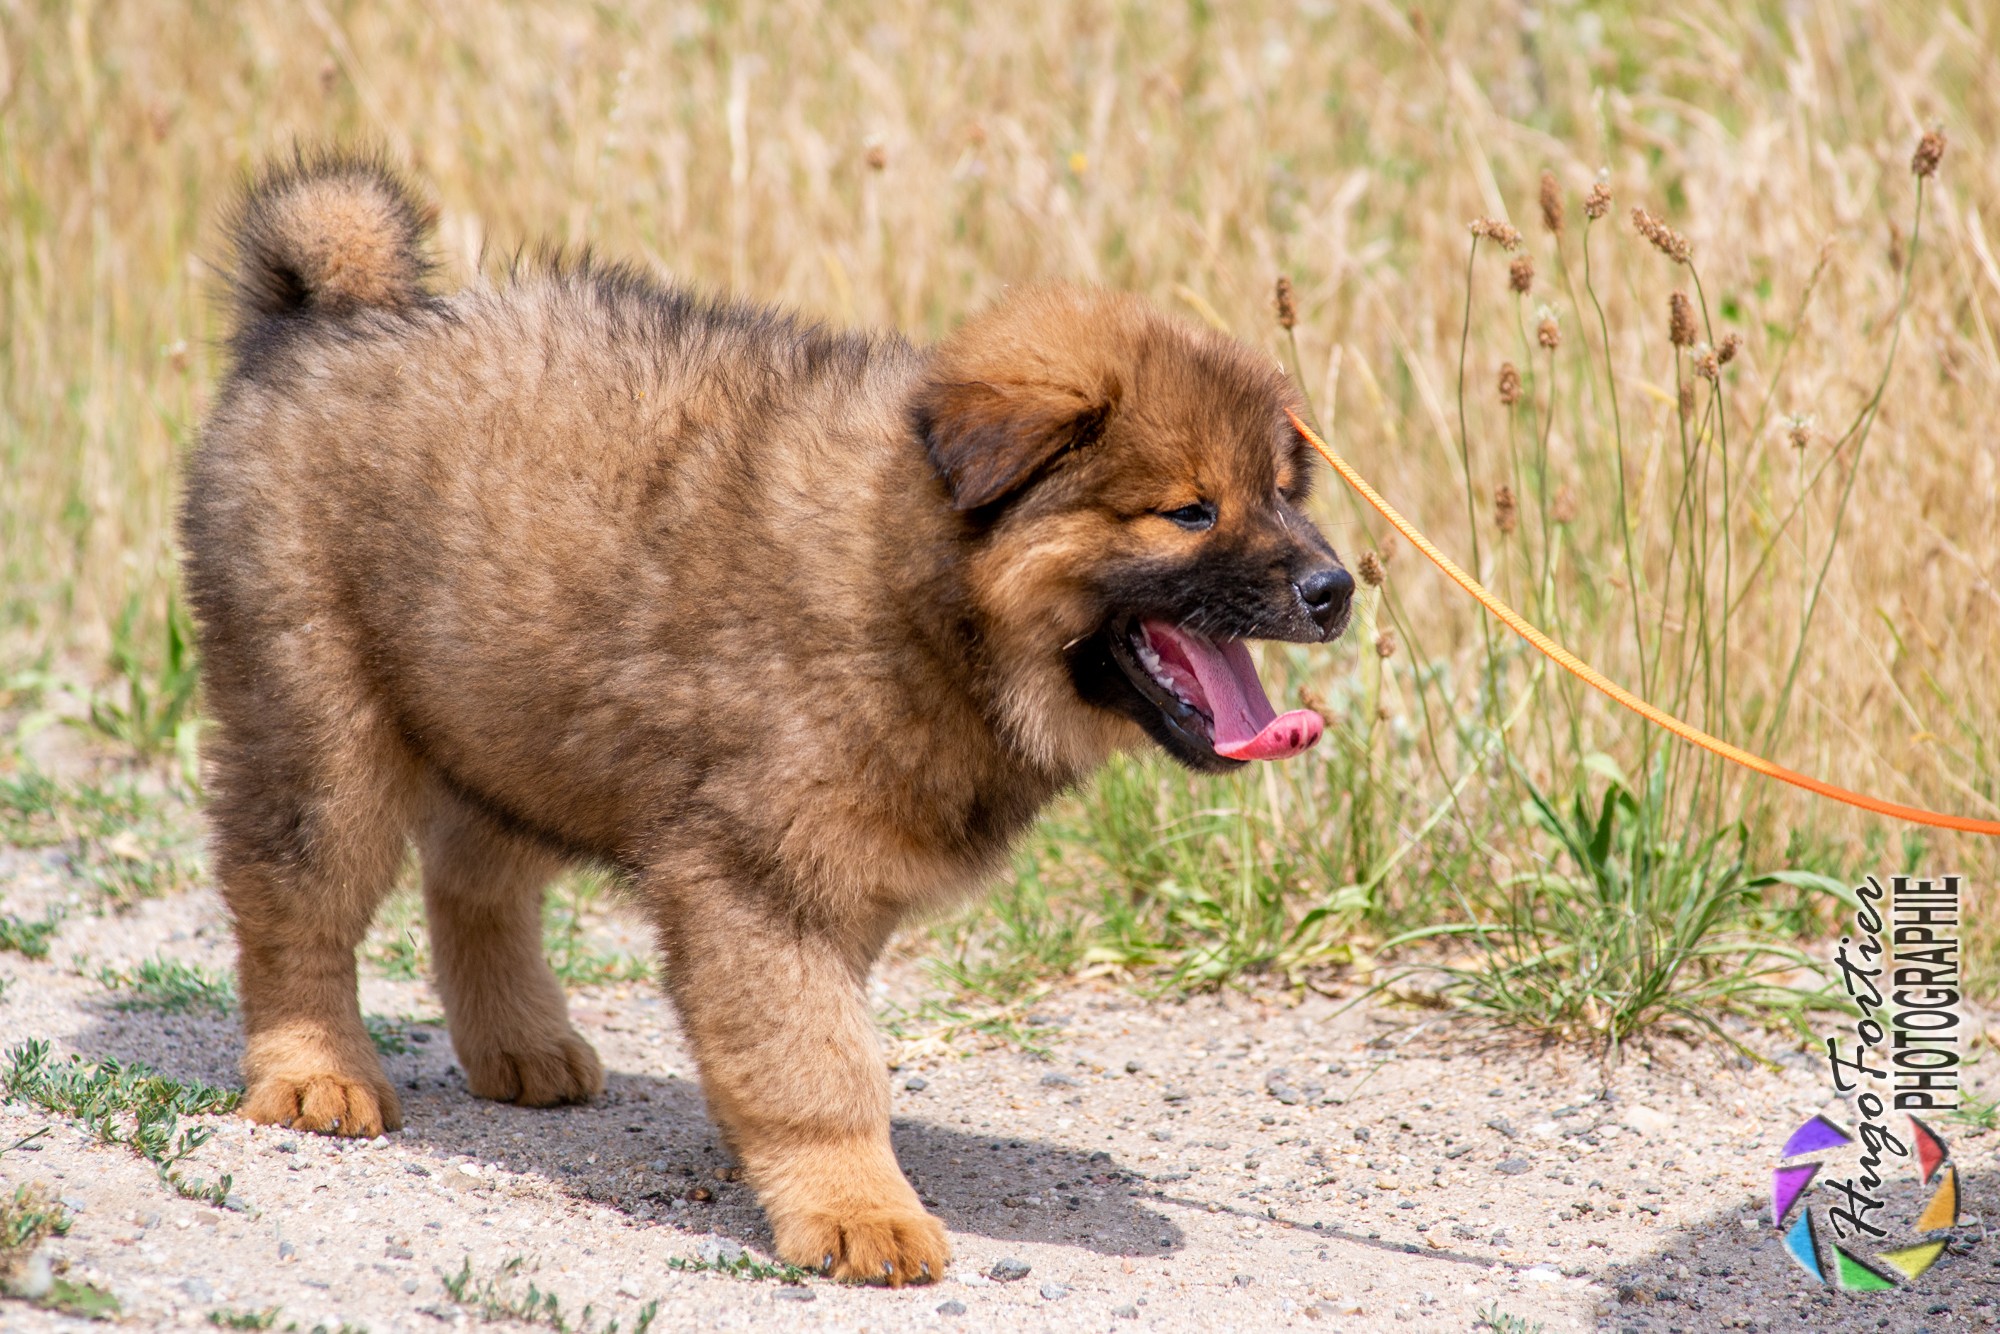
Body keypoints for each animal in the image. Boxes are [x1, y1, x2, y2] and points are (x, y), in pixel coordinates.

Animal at [180, 151, 1352, 1288]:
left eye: (1283, 493)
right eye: (1189, 510)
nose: (1335, 587)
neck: (924, 590)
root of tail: (322, 324)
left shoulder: (837, 879)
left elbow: (803, 1038)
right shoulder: (760, 875)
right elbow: (817, 1060)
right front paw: (859, 1211)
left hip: (513, 704)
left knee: (475, 880)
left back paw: (521, 1044)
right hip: (322, 721)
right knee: (295, 905)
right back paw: (314, 1071)